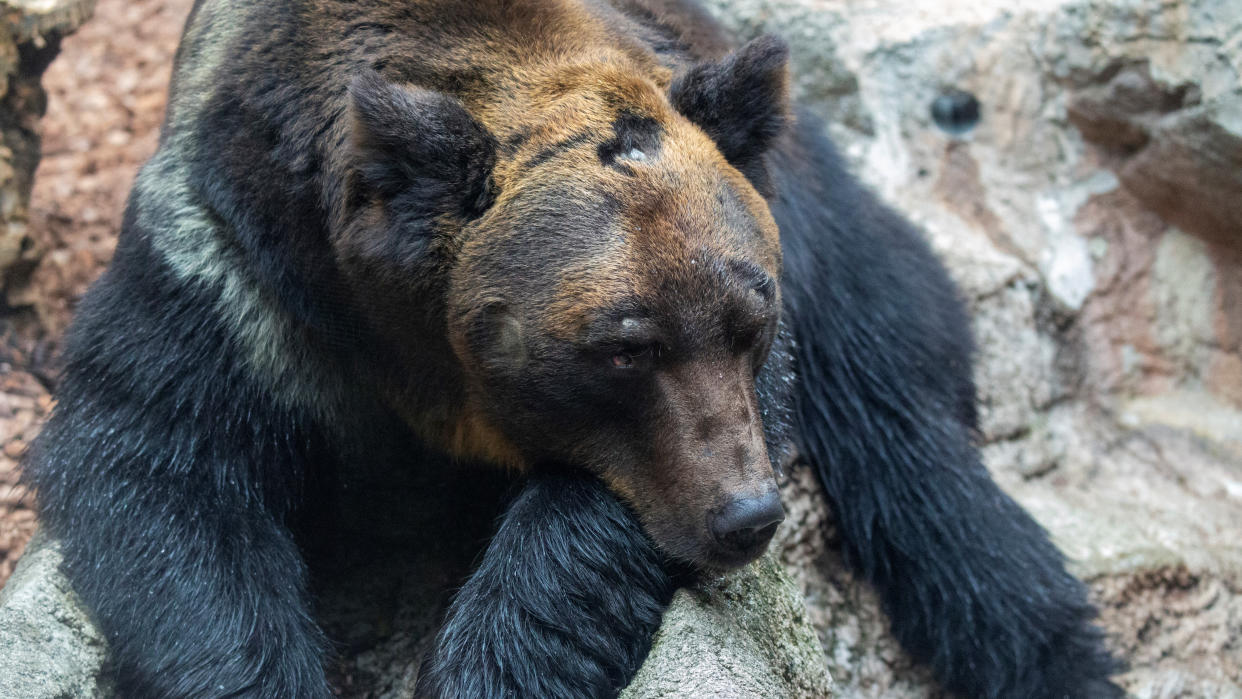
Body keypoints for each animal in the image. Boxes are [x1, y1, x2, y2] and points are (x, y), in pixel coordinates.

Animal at [21, 0, 1127, 695]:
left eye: (749, 319)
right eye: (623, 346)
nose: (748, 515)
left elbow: (586, 531)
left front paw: (485, 666)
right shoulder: (234, 276)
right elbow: (166, 476)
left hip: (835, 235)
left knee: (926, 479)